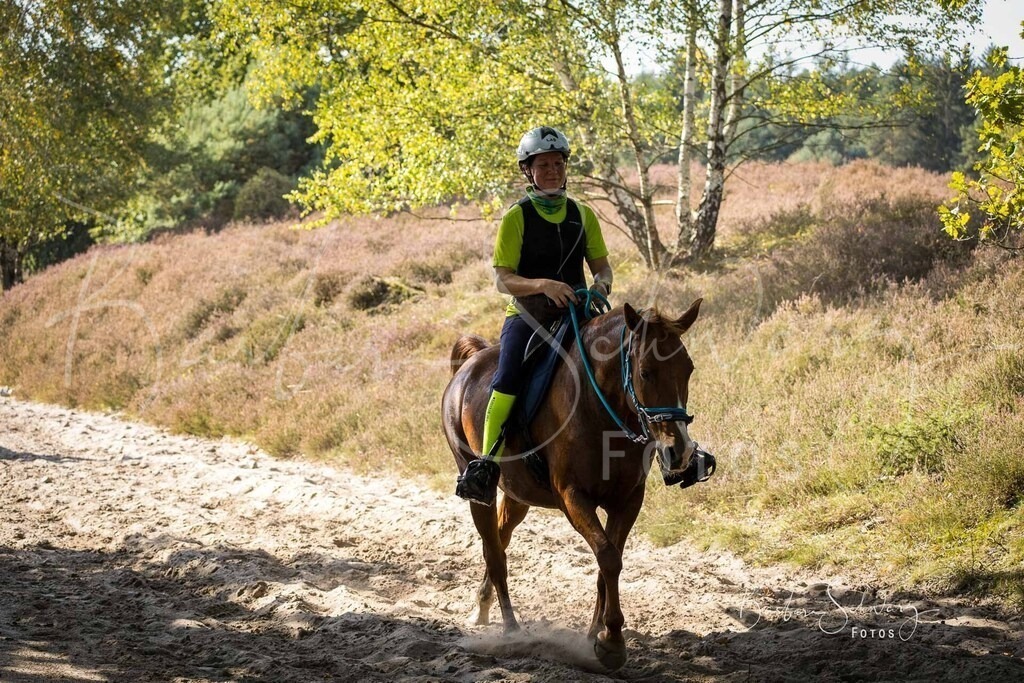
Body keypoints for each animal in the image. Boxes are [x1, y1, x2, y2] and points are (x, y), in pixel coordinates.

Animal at [440, 298, 703, 671]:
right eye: (646, 371)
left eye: (688, 369)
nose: (679, 451)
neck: (602, 411)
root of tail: (469, 366)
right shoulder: (572, 497)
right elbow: (608, 557)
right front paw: (612, 642)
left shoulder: (628, 500)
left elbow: (608, 563)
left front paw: (597, 634)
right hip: (479, 489)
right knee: (494, 553)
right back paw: (511, 630)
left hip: (518, 495)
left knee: (500, 539)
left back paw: (482, 607)